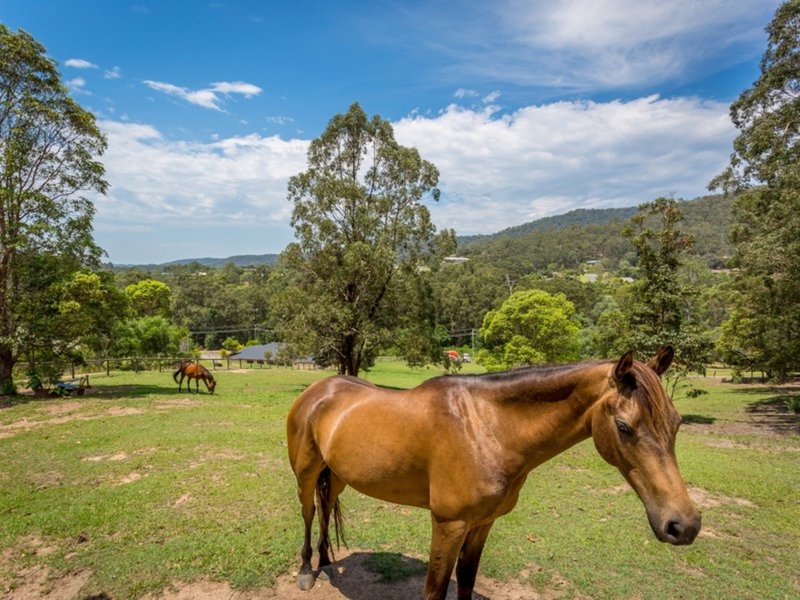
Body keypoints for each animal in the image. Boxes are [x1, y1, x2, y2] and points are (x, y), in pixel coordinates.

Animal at [288, 346, 700, 600]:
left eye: (677, 422)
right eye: (624, 426)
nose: (684, 525)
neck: (485, 428)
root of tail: (318, 390)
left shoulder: (482, 524)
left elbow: (466, 584)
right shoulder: (448, 525)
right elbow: (434, 590)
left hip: (338, 475)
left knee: (326, 509)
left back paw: (327, 561)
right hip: (306, 474)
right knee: (309, 512)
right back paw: (308, 570)